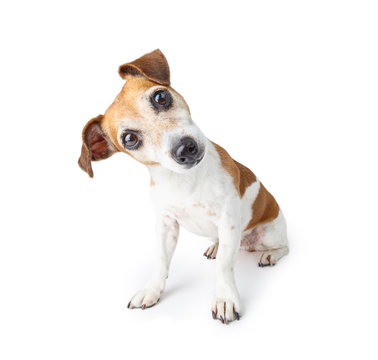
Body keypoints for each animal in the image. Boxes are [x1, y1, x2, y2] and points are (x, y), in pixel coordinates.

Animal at [78, 50, 288, 324]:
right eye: (130, 139)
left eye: (160, 97)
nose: (184, 148)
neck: (185, 181)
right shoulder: (166, 225)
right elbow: (161, 261)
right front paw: (151, 290)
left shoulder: (228, 221)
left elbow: (224, 266)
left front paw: (225, 298)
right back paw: (216, 246)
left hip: (271, 233)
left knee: (284, 247)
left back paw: (270, 254)